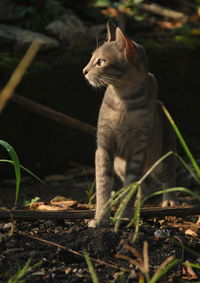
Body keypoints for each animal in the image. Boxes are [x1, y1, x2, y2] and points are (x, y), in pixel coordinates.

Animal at [83, 21, 177, 227]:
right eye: (91, 58)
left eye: (101, 61)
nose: (84, 71)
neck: (123, 101)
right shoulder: (104, 147)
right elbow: (103, 186)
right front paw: (100, 218)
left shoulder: (138, 151)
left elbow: (130, 186)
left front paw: (123, 216)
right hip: (120, 165)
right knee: (144, 185)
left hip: (161, 162)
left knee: (167, 177)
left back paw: (169, 200)